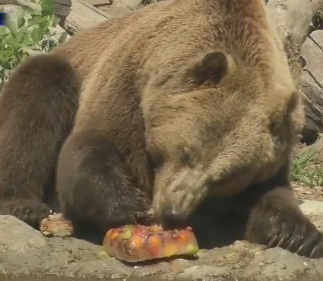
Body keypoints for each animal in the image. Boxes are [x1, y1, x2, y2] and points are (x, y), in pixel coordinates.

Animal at [0, 0, 323, 256]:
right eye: (187, 152)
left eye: (224, 178)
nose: (173, 210)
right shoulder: (128, 82)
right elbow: (91, 148)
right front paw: (131, 204)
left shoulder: (276, 146)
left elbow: (268, 195)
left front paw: (298, 235)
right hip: (64, 70)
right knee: (36, 101)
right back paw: (23, 204)